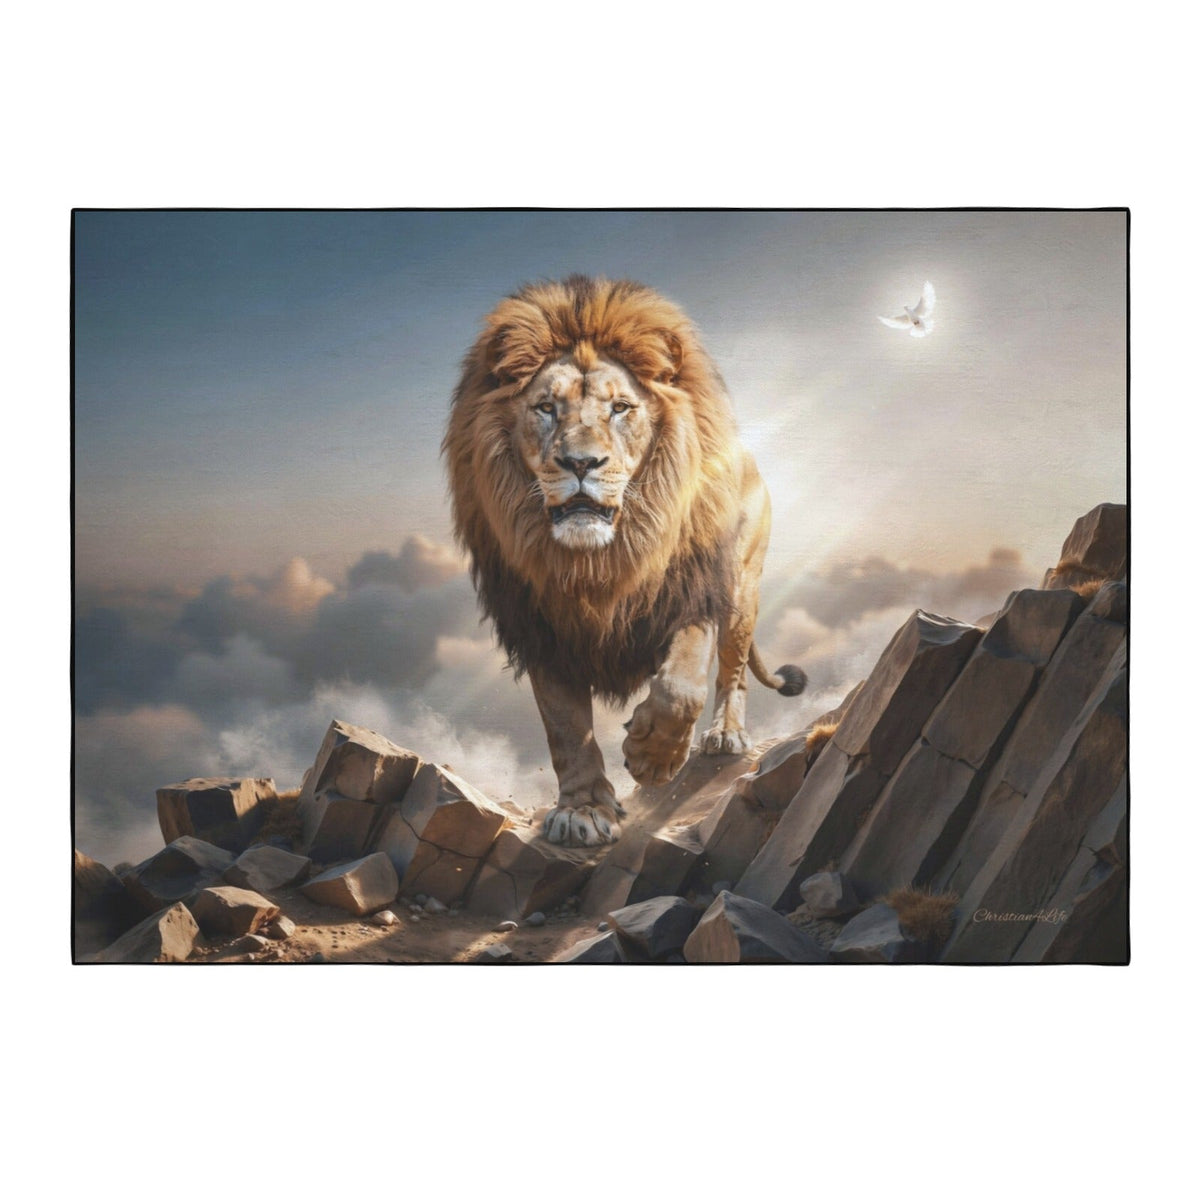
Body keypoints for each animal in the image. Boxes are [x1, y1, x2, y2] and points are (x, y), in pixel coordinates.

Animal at [443, 276, 805, 847]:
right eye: (545, 408)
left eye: (620, 408)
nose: (580, 463)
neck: (598, 562)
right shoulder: (540, 622)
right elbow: (566, 726)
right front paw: (584, 809)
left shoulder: (690, 592)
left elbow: (681, 687)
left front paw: (651, 758)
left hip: (743, 587)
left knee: (734, 671)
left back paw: (726, 734)